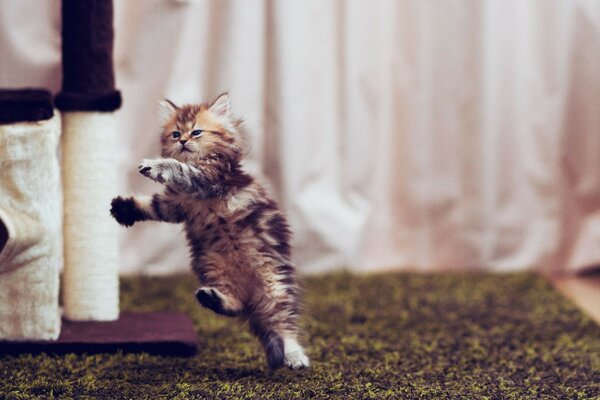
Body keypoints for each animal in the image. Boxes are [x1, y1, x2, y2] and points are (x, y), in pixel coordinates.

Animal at [110, 93, 310, 368]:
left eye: (196, 132)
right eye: (175, 134)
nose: (183, 141)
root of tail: (252, 293)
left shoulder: (207, 180)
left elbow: (178, 168)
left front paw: (154, 165)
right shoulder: (174, 205)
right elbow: (152, 205)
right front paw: (123, 208)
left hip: (275, 283)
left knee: (283, 324)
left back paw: (294, 357)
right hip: (211, 266)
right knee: (237, 306)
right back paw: (212, 298)